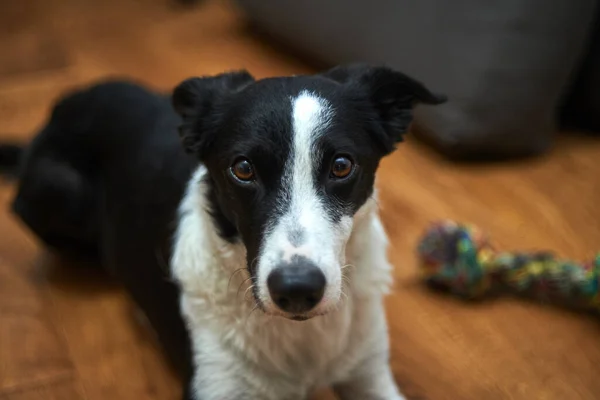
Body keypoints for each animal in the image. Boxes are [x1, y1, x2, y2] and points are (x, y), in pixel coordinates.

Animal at [1, 64, 446, 398]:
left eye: (341, 165)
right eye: (243, 169)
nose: (297, 289)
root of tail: (63, 104)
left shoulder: (369, 370)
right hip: (59, 189)